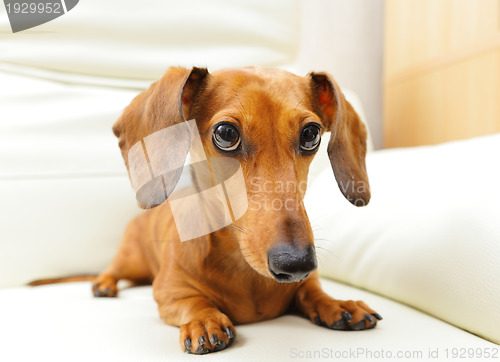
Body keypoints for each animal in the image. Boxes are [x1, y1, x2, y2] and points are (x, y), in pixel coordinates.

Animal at [92, 67, 380, 354]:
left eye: (311, 134)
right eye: (226, 134)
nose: (297, 263)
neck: (244, 269)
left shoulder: (305, 284)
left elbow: (312, 291)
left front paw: (338, 304)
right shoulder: (168, 290)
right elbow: (193, 300)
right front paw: (205, 319)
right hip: (130, 259)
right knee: (112, 271)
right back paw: (103, 286)